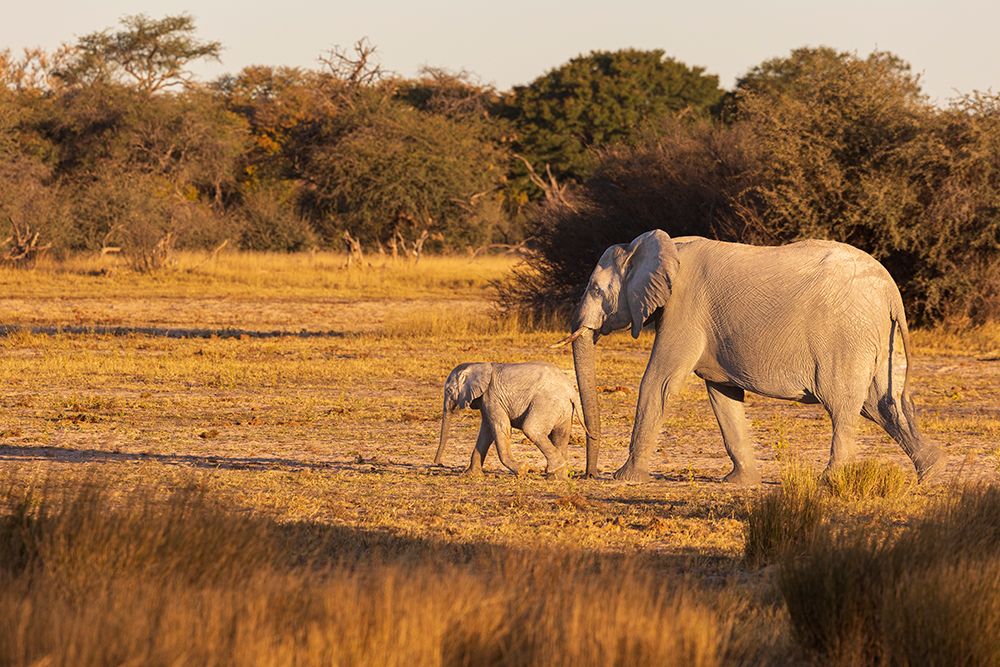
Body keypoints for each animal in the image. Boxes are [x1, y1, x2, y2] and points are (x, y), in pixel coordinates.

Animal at [434, 361, 590, 477]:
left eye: (448, 391)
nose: (438, 463)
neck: (477, 364)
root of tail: (571, 391)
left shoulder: (492, 396)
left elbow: (500, 427)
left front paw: (522, 470)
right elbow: (486, 431)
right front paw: (471, 475)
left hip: (547, 403)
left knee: (532, 429)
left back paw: (554, 469)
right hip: (563, 409)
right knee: (560, 436)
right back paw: (558, 476)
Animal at [561, 229, 942, 484]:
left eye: (596, 290)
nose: (589, 474)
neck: (659, 245)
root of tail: (891, 291)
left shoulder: (685, 308)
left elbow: (659, 381)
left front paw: (624, 478)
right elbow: (722, 394)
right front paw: (739, 483)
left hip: (847, 336)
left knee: (845, 406)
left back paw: (830, 480)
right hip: (879, 336)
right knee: (884, 404)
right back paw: (931, 473)